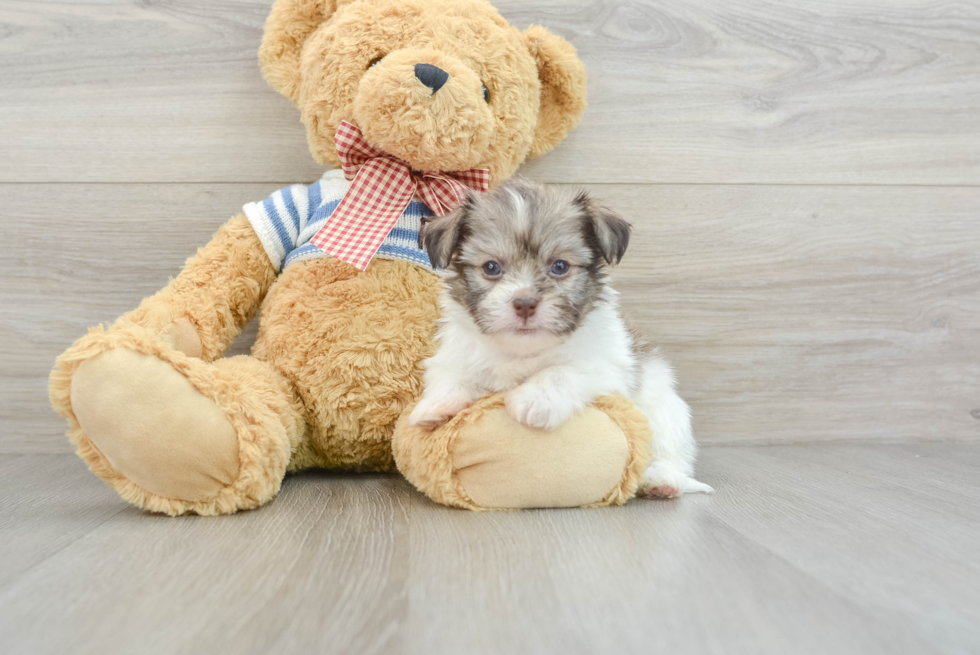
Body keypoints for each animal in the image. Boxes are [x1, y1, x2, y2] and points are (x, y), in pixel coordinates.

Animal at [408, 178, 712, 498]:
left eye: (560, 267)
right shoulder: (456, 353)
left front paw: (534, 399)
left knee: (670, 453)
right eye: (491, 267)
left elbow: (560, 371)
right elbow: (452, 375)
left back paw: (662, 480)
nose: (525, 303)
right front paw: (436, 405)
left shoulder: (607, 365)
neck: (524, 351)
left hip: (666, 411)